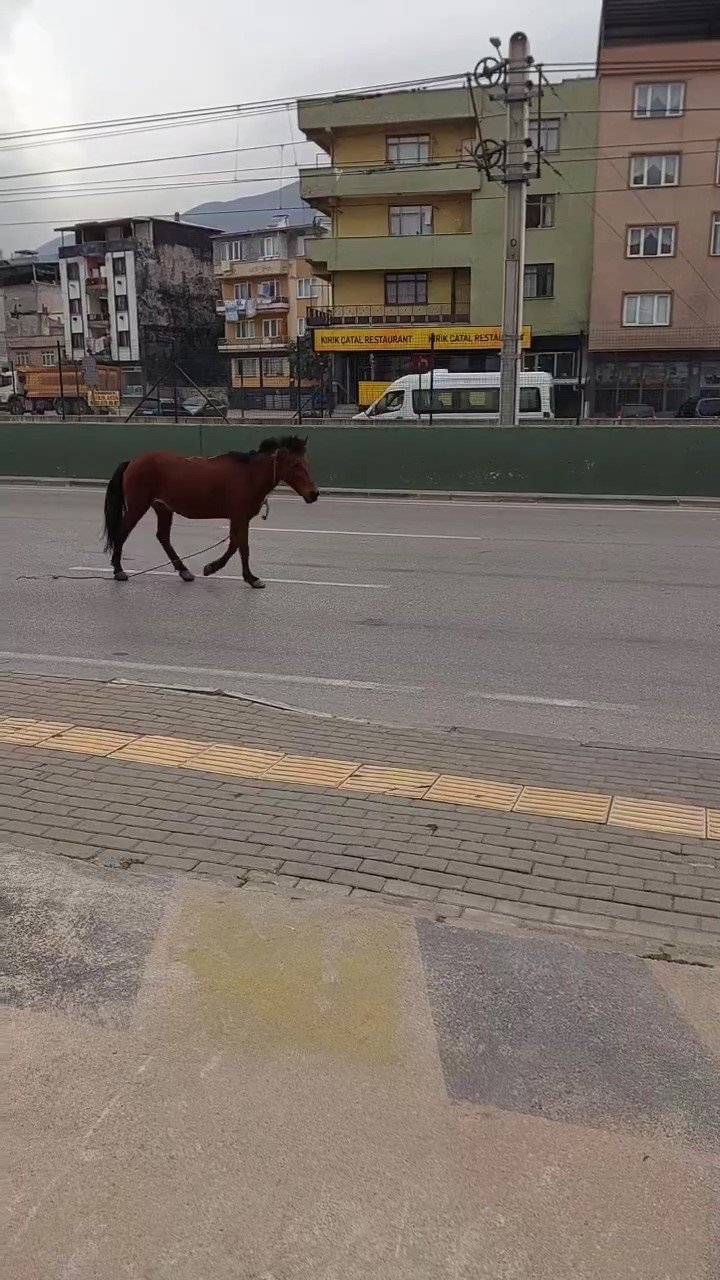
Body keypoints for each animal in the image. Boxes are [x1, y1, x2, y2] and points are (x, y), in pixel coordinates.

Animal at [101, 435, 316, 586]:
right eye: (295, 465)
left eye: (306, 463)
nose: (314, 494)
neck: (248, 475)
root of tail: (132, 461)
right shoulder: (240, 517)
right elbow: (242, 547)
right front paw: (250, 578)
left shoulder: (238, 518)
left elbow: (234, 545)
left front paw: (213, 567)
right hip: (138, 506)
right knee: (122, 532)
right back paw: (119, 570)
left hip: (163, 508)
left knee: (163, 537)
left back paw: (184, 570)